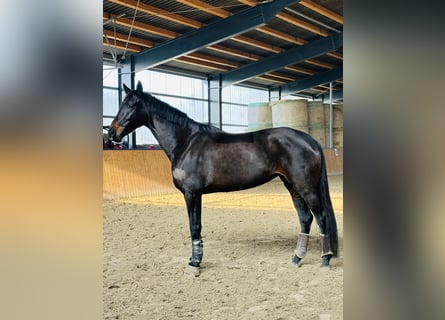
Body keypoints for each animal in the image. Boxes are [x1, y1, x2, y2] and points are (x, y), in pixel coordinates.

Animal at [108, 81, 336, 274]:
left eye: (132, 103)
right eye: (121, 102)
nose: (111, 133)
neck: (186, 142)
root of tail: (310, 140)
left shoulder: (192, 193)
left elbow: (195, 227)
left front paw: (195, 264)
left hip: (306, 188)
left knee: (321, 217)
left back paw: (325, 259)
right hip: (292, 185)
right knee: (305, 218)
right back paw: (297, 258)